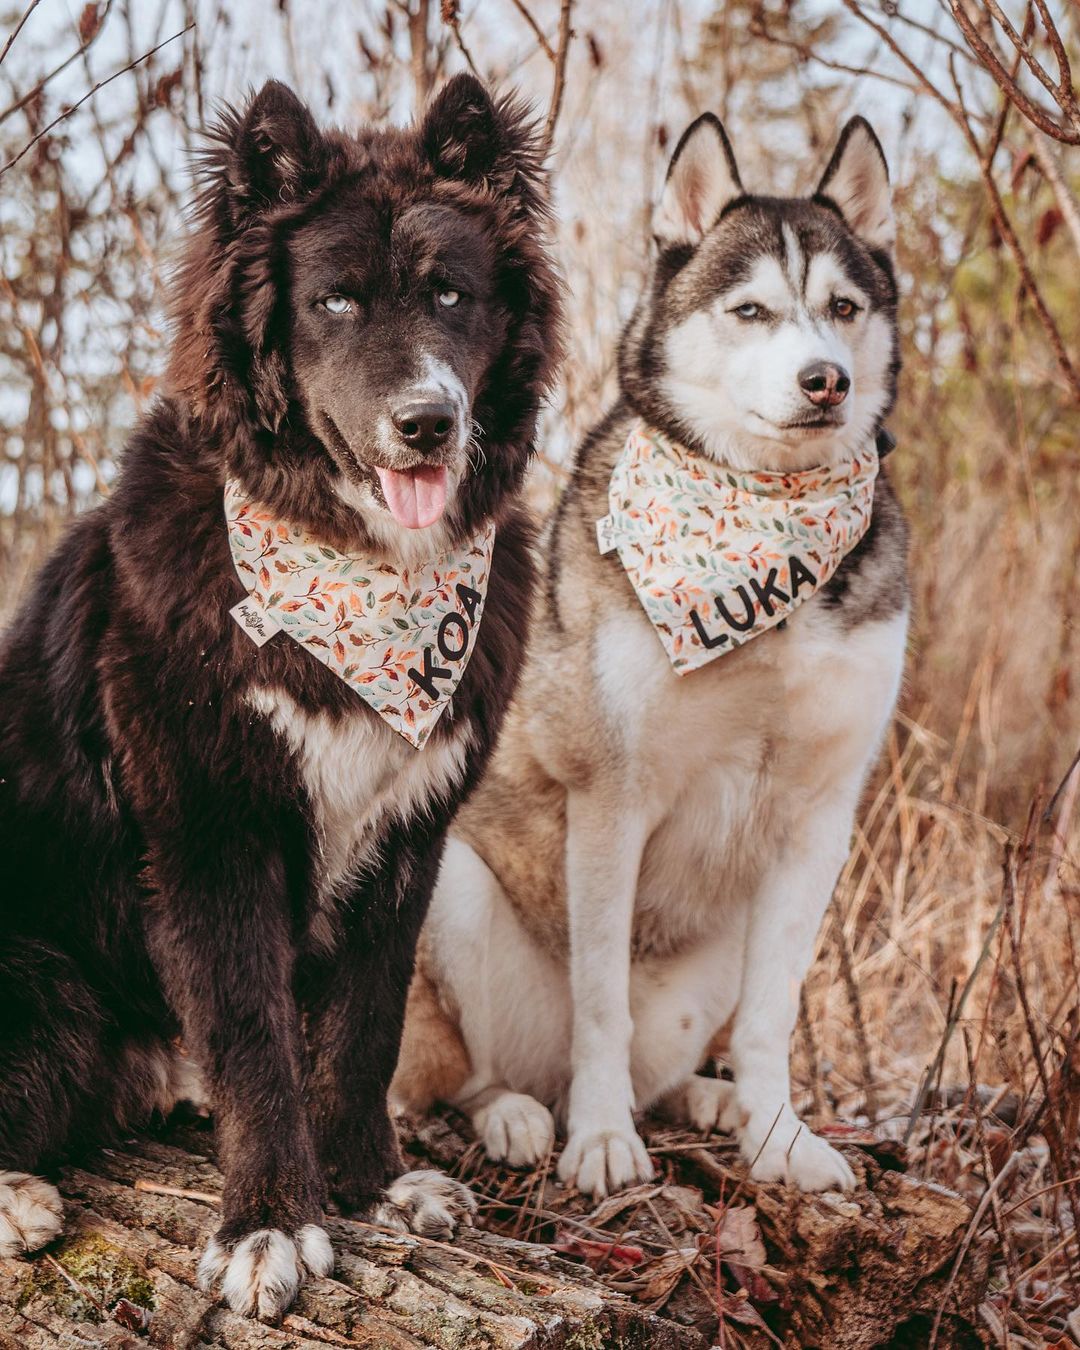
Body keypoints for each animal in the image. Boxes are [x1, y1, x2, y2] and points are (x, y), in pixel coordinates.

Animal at [0, 73, 561, 1317]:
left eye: (451, 293)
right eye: (335, 301)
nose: (428, 422)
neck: (351, 568)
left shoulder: (406, 840)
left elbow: (363, 1031)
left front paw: (370, 1185)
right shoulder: (214, 833)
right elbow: (256, 1039)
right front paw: (269, 1226)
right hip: (46, 987)